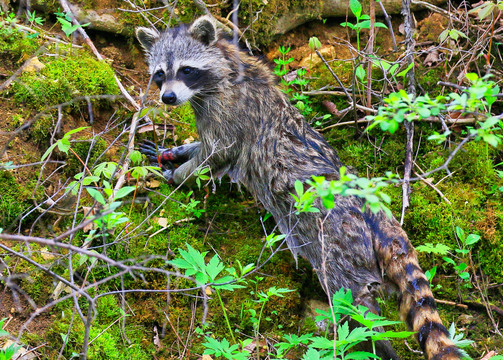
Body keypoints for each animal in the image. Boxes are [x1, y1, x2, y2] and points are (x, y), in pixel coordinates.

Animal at [137, 15, 464, 358]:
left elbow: (214, 155)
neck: (225, 66)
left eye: (186, 70)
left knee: (356, 303)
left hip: (340, 248)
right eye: (159, 74)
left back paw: (374, 343)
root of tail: (376, 217)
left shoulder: (229, 112)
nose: (168, 98)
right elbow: (202, 148)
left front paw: (177, 174)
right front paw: (175, 152)